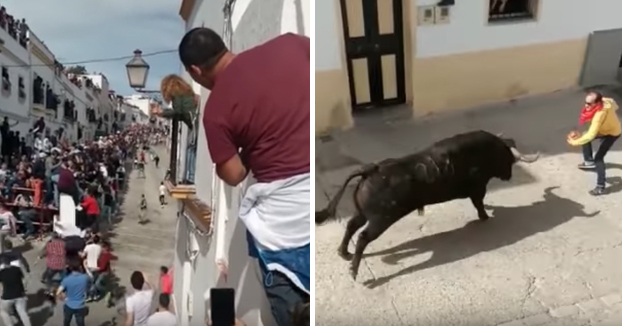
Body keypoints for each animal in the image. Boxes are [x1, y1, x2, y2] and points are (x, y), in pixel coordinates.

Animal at [316, 130, 540, 280]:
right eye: (509, 159)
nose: (509, 176)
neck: (489, 150)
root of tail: (371, 169)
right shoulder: (478, 188)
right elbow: (479, 203)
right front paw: (484, 217)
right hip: (382, 219)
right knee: (363, 236)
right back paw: (353, 270)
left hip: (364, 212)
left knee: (351, 225)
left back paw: (344, 253)